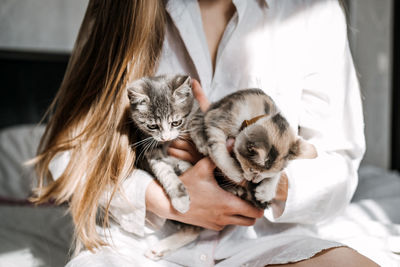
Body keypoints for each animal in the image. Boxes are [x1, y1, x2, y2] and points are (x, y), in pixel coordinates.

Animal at [127, 74, 198, 215]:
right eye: (152, 126)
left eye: (176, 123)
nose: (165, 137)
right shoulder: (150, 145)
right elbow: (163, 169)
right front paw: (180, 198)